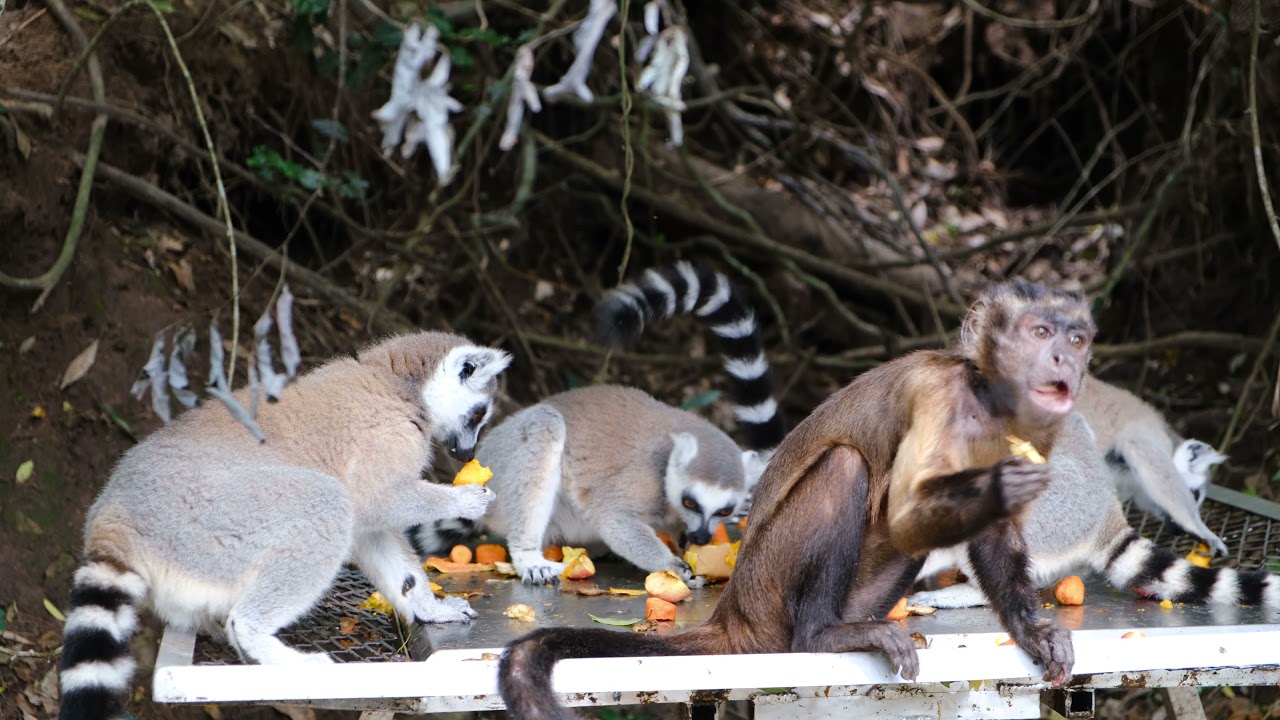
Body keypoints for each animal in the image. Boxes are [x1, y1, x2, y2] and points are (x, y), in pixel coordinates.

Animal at [58, 332, 510, 720]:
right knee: (325, 505)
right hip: (213, 518)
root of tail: (115, 513)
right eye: (478, 414)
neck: (397, 380)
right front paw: (468, 500)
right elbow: (382, 498)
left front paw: (431, 609)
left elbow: (374, 534)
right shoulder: (384, 436)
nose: (465, 452)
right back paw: (267, 645)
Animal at [411, 262, 787, 585]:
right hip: (503, 473)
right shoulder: (642, 479)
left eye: (725, 510)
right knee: (544, 428)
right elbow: (615, 519)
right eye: (691, 502)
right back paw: (529, 556)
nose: (702, 535)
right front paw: (673, 565)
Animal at [498, 278, 1095, 720]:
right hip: (769, 588)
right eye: (1040, 331)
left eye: (1077, 340)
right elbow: (905, 509)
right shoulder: (938, 397)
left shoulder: (1034, 426)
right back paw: (821, 635)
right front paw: (998, 486)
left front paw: (1031, 630)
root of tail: (735, 610)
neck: (986, 400)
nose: (1064, 361)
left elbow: (995, 532)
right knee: (845, 466)